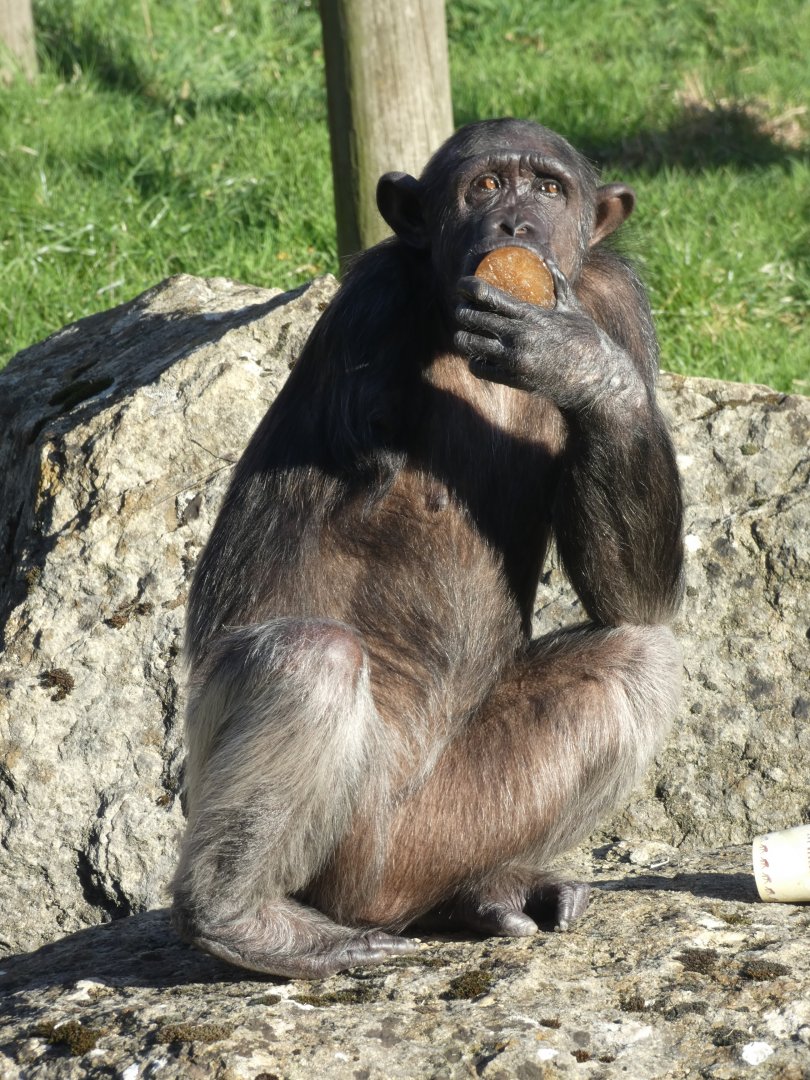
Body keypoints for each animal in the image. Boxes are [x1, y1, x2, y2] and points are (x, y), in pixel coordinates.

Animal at [171, 118, 684, 979]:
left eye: (549, 189)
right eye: (485, 186)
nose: (516, 223)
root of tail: (386, 899)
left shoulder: (618, 305)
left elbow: (636, 595)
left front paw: (574, 360)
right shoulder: (372, 301)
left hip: (443, 831)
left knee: (636, 656)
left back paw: (489, 891)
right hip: (340, 848)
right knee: (308, 659)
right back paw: (243, 921)